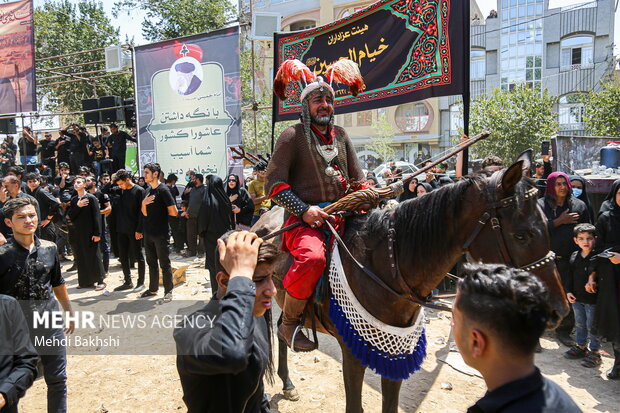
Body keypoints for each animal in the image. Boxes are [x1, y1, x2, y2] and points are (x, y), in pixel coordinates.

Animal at [252, 153, 568, 410]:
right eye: (522, 235)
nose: (558, 310)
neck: (386, 266)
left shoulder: (393, 354)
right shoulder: (353, 352)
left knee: (281, 330)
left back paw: (288, 382)